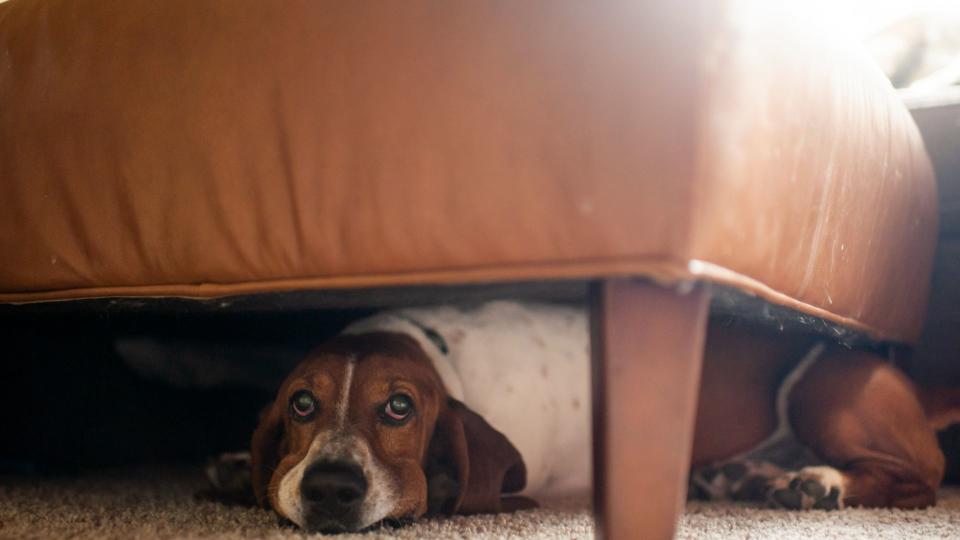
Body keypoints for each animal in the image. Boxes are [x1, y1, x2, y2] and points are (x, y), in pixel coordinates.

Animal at [214, 302, 956, 532]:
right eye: (301, 402)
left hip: (819, 391)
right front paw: (237, 466)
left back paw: (816, 482)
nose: (330, 488)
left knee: (919, 479)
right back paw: (740, 479)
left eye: (400, 407)